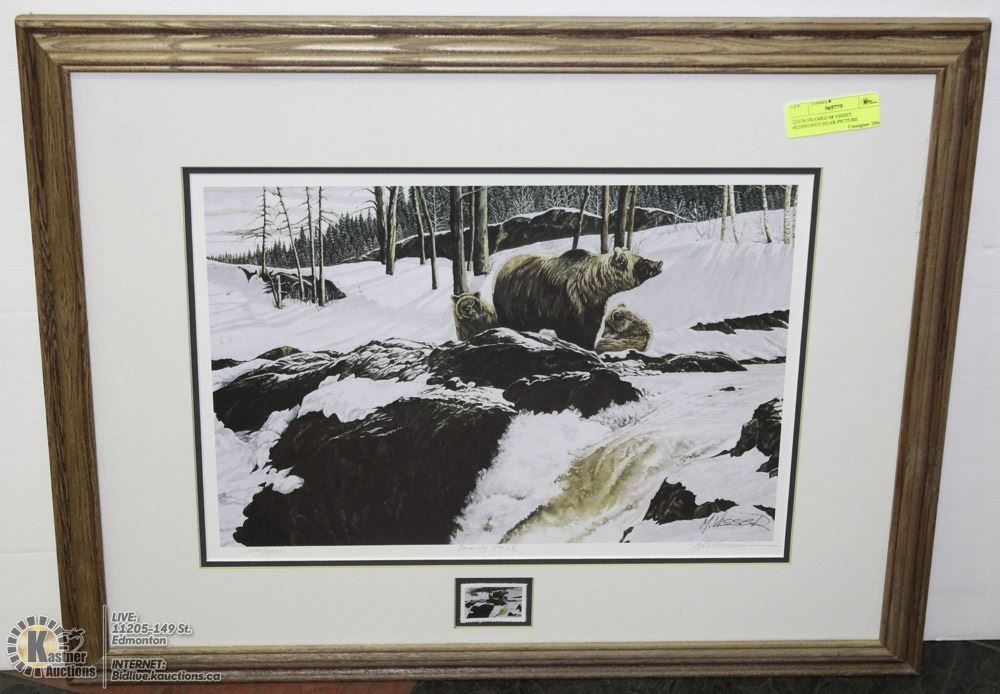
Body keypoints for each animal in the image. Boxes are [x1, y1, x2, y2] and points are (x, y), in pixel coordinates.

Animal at [492, 247, 663, 350]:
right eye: (643, 261)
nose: (659, 263)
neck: (594, 286)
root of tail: (502, 268)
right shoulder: (567, 303)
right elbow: (571, 332)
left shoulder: (593, 307)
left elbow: (590, 331)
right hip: (517, 301)